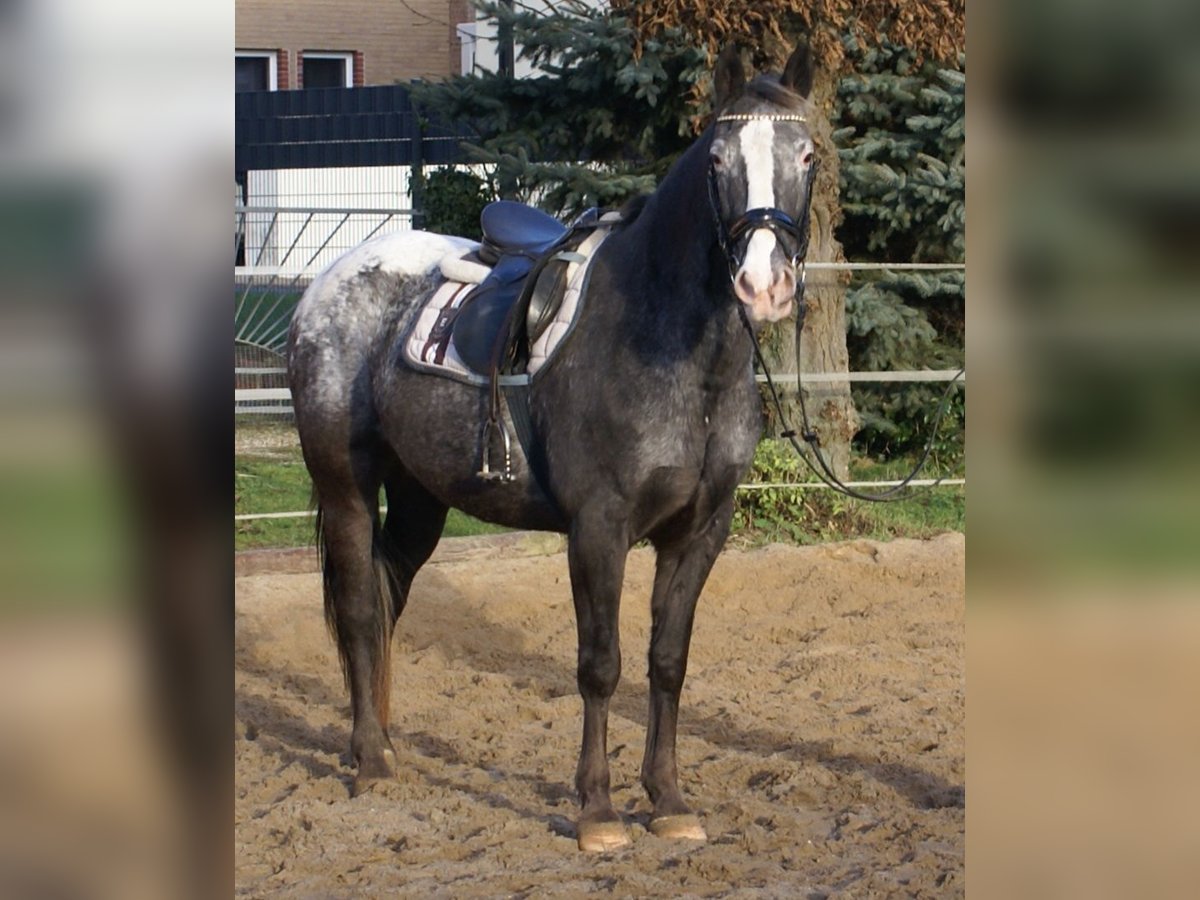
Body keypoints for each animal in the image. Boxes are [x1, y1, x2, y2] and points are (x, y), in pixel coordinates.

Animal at [285, 42, 820, 854]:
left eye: (809, 154)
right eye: (718, 160)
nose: (764, 284)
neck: (673, 349)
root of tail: (329, 282)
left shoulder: (700, 531)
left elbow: (668, 662)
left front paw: (668, 799)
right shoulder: (598, 528)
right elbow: (601, 665)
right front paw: (597, 811)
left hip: (419, 499)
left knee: (387, 600)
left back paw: (380, 740)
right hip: (346, 485)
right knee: (355, 606)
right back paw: (371, 761)